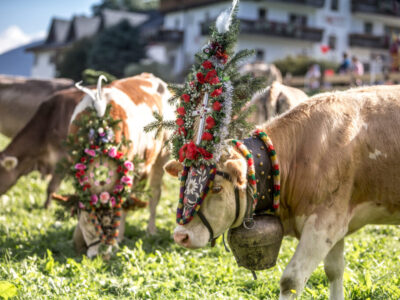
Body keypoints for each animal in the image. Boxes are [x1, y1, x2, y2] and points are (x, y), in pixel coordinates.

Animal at [70, 71, 173, 256]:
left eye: (111, 219)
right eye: (90, 220)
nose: (101, 255)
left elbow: (122, 203)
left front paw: (117, 240)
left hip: (162, 154)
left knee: (154, 194)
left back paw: (151, 231)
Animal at [164, 85, 400, 300]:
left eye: (217, 188)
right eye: (184, 184)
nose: (180, 236)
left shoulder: (324, 223)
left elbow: (291, 280)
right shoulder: (335, 223)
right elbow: (334, 271)